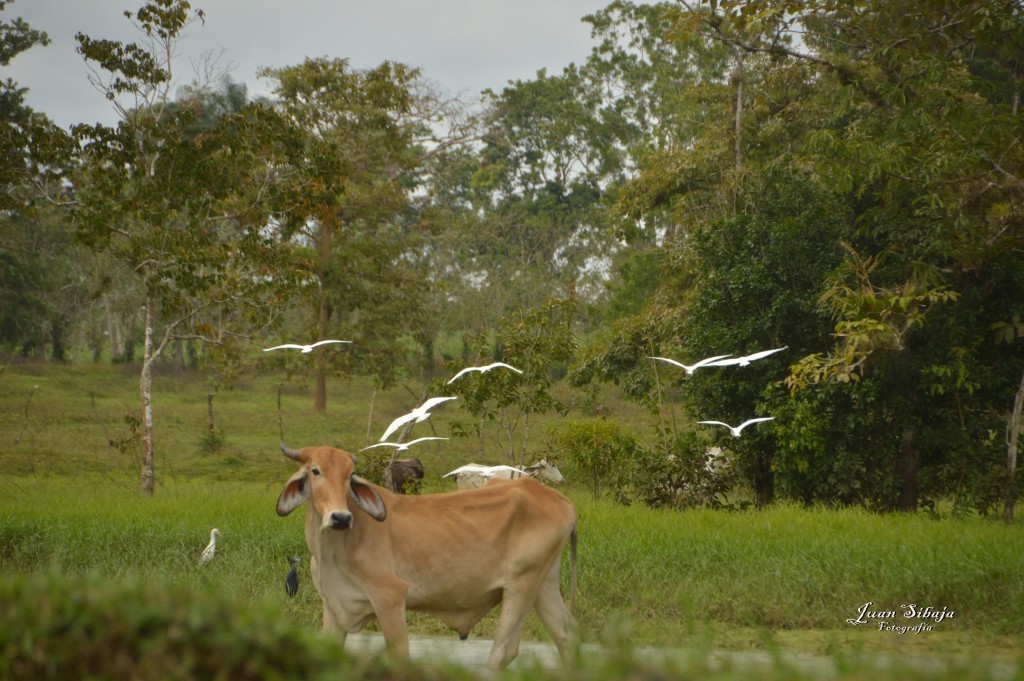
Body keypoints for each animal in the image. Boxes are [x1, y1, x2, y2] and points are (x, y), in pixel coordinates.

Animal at [274, 440, 577, 667]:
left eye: (349, 476)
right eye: (315, 471)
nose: (340, 517)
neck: (335, 549)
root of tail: (562, 500)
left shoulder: (390, 598)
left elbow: (400, 656)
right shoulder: (334, 606)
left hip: (522, 585)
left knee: (504, 650)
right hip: (544, 583)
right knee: (566, 635)